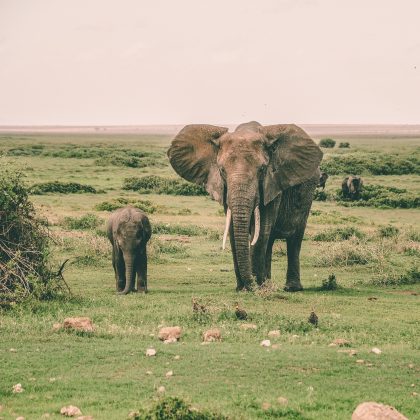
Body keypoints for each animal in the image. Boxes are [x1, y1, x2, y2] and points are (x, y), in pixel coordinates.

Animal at [167, 120, 322, 292]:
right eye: (222, 170)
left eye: (262, 169)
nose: (249, 285)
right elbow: (234, 231)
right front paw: (243, 288)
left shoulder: (272, 185)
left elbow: (261, 231)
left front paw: (254, 287)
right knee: (270, 241)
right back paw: (267, 284)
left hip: (307, 194)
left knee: (294, 238)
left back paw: (290, 288)